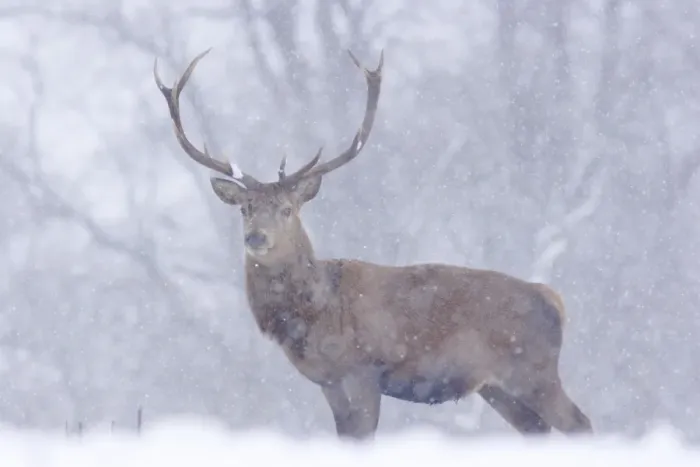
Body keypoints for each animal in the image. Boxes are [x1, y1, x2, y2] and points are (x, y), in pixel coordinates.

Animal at [153, 48, 593, 440]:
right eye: (245, 209)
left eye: (287, 209)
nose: (255, 237)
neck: (313, 314)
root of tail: (554, 299)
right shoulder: (328, 382)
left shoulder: (362, 371)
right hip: (497, 388)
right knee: (539, 430)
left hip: (533, 371)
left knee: (580, 423)